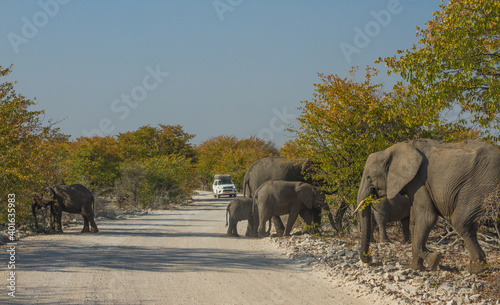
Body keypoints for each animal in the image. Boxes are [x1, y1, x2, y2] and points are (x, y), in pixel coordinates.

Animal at [356, 138, 500, 274]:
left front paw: (434, 260)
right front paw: (417, 268)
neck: (388, 151)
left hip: (481, 187)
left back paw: (474, 269)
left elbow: (427, 217)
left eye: (368, 177)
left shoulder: (419, 181)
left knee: (461, 222)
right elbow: (415, 221)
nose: (370, 260)